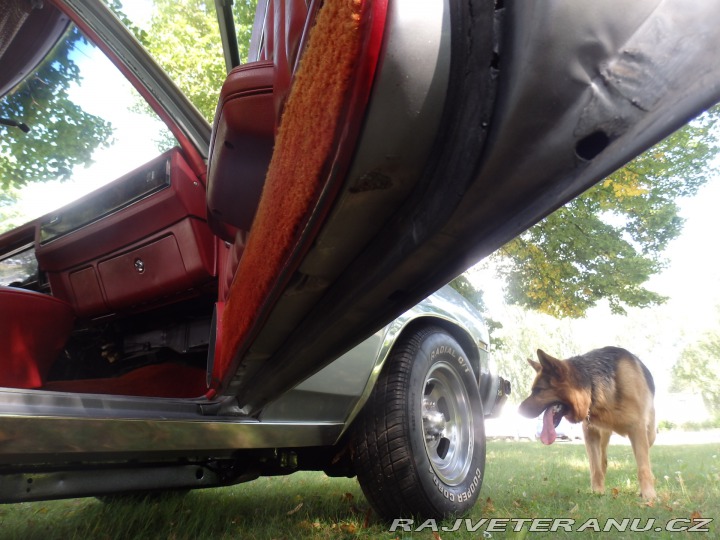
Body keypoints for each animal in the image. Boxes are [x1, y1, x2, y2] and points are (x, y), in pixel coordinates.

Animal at [516, 348, 660, 500]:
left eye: (538, 390)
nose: (518, 411)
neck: (593, 387)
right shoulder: (590, 433)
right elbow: (595, 467)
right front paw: (597, 491)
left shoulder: (637, 429)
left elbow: (643, 467)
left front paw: (649, 495)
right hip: (603, 436)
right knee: (602, 460)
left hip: (649, 434)